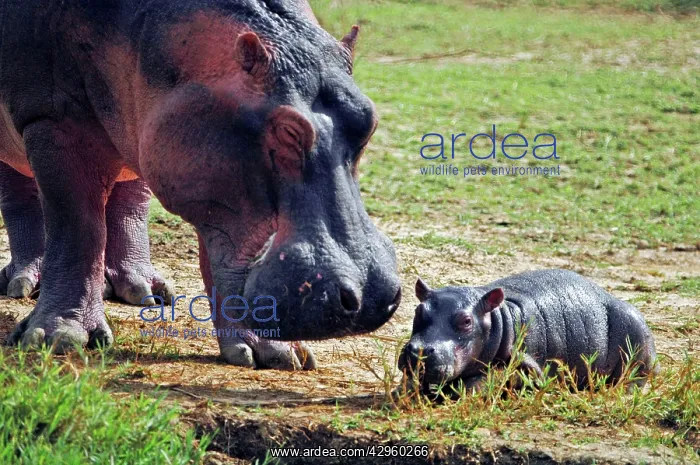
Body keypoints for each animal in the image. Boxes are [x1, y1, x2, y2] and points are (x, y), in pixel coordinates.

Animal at [0, 0, 402, 369]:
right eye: (289, 130)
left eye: (370, 119)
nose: (370, 298)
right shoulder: (52, 120)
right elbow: (77, 229)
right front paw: (60, 339)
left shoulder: (208, 178)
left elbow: (218, 252)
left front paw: (277, 353)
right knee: (21, 199)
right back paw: (24, 283)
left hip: (137, 134)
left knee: (129, 202)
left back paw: (145, 292)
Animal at [399, 269, 658, 393]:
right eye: (418, 310)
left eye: (466, 321)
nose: (419, 350)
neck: (499, 319)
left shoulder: (529, 363)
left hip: (638, 340)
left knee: (636, 378)